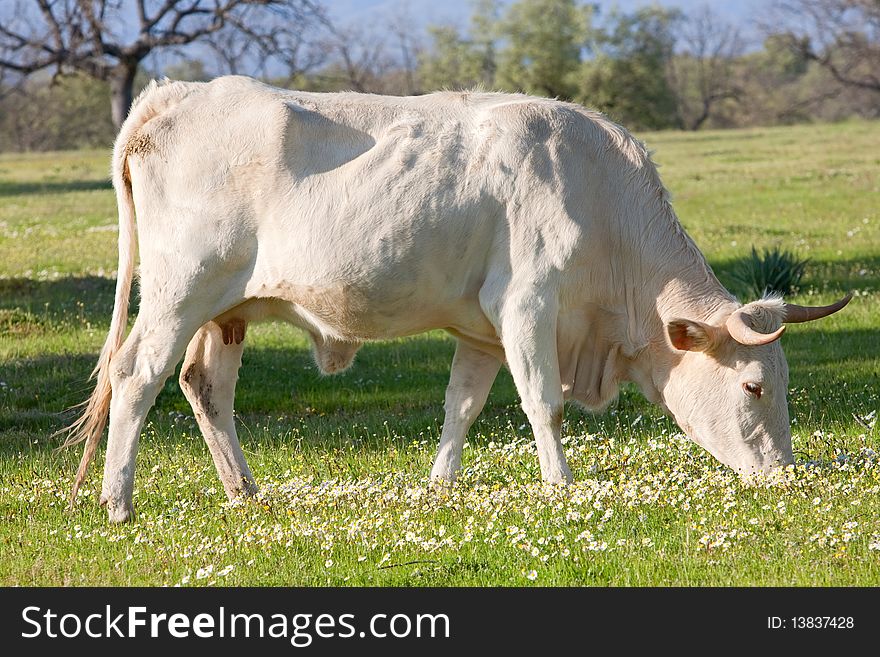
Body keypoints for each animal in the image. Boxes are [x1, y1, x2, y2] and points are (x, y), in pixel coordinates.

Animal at [62, 74, 844, 520]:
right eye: (752, 386)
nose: (786, 474)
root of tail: (177, 91)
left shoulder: (481, 330)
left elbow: (461, 404)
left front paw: (440, 486)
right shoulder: (527, 302)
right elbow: (543, 401)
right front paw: (562, 486)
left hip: (224, 311)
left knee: (204, 386)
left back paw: (245, 492)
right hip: (178, 292)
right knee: (136, 375)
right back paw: (118, 501)